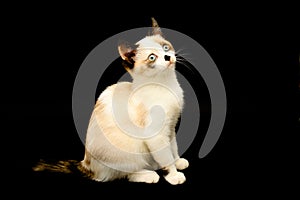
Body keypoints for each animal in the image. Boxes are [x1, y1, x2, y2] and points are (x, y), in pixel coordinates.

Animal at [33, 18, 188, 185]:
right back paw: (149, 175)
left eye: (165, 47)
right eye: (152, 57)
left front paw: (178, 161)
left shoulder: (171, 127)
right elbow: (166, 158)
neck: (166, 85)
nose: (168, 57)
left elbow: (173, 148)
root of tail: (86, 164)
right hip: (130, 150)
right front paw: (174, 175)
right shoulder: (156, 135)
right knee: (125, 173)